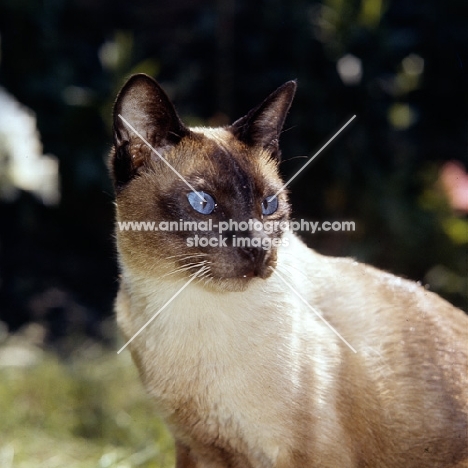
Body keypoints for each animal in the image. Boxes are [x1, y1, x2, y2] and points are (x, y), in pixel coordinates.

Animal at [110, 74, 468, 468]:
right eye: (203, 204)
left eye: (269, 205)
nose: (258, 249)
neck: (185, 313)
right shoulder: (196, 448)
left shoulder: (306, 457)